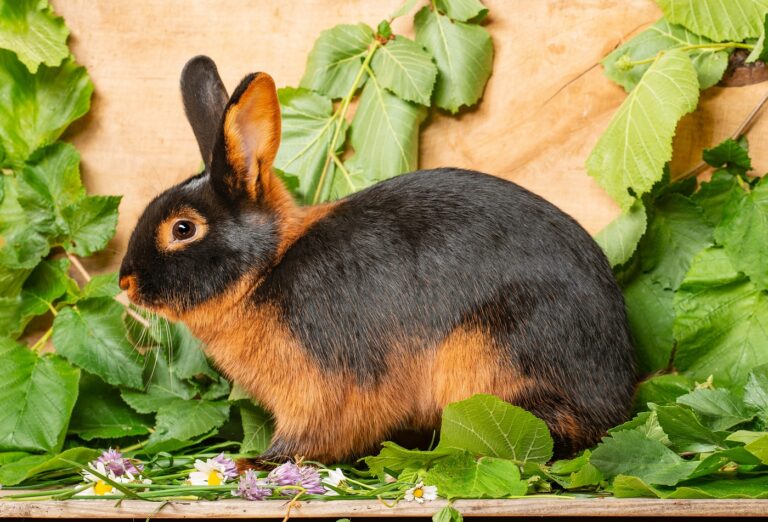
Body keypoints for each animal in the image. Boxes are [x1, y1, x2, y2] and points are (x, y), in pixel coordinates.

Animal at [120, 55, 636, 464]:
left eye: (183, 229)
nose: (125, 282)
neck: (265, 269)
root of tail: (617, 395)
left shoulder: (325, 386)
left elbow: (313, 435)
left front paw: (257, 463)